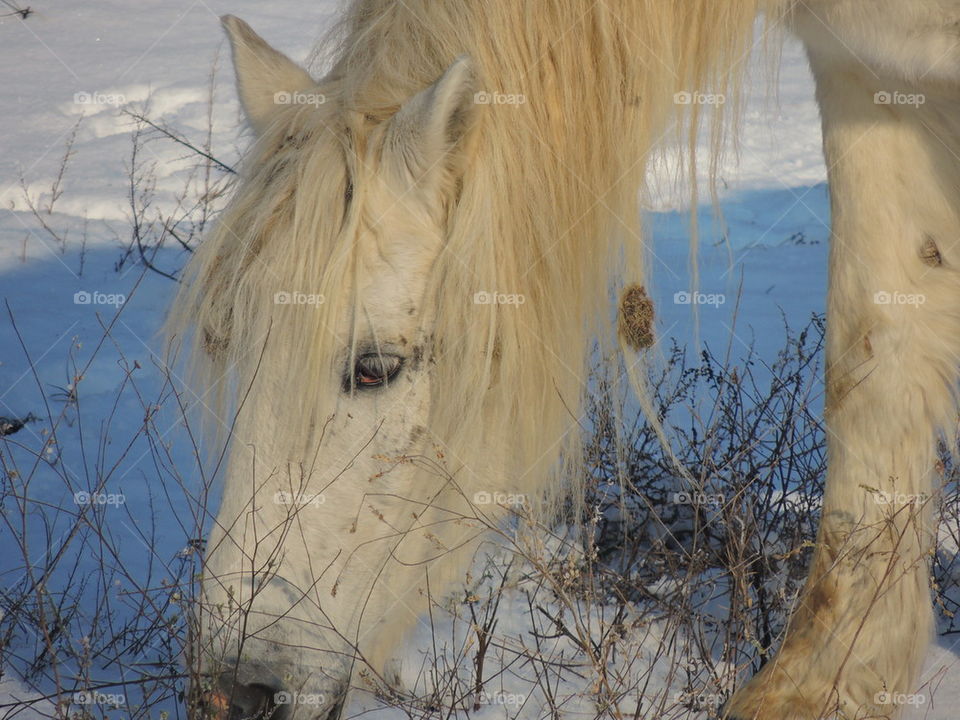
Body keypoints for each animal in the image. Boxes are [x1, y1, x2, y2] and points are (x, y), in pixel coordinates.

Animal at [169, 1, 960, 720]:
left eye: (374, 368)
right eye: (228, 341)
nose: (236, 692)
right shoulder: (863, 70)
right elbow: (873, 356)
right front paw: (825, 681)